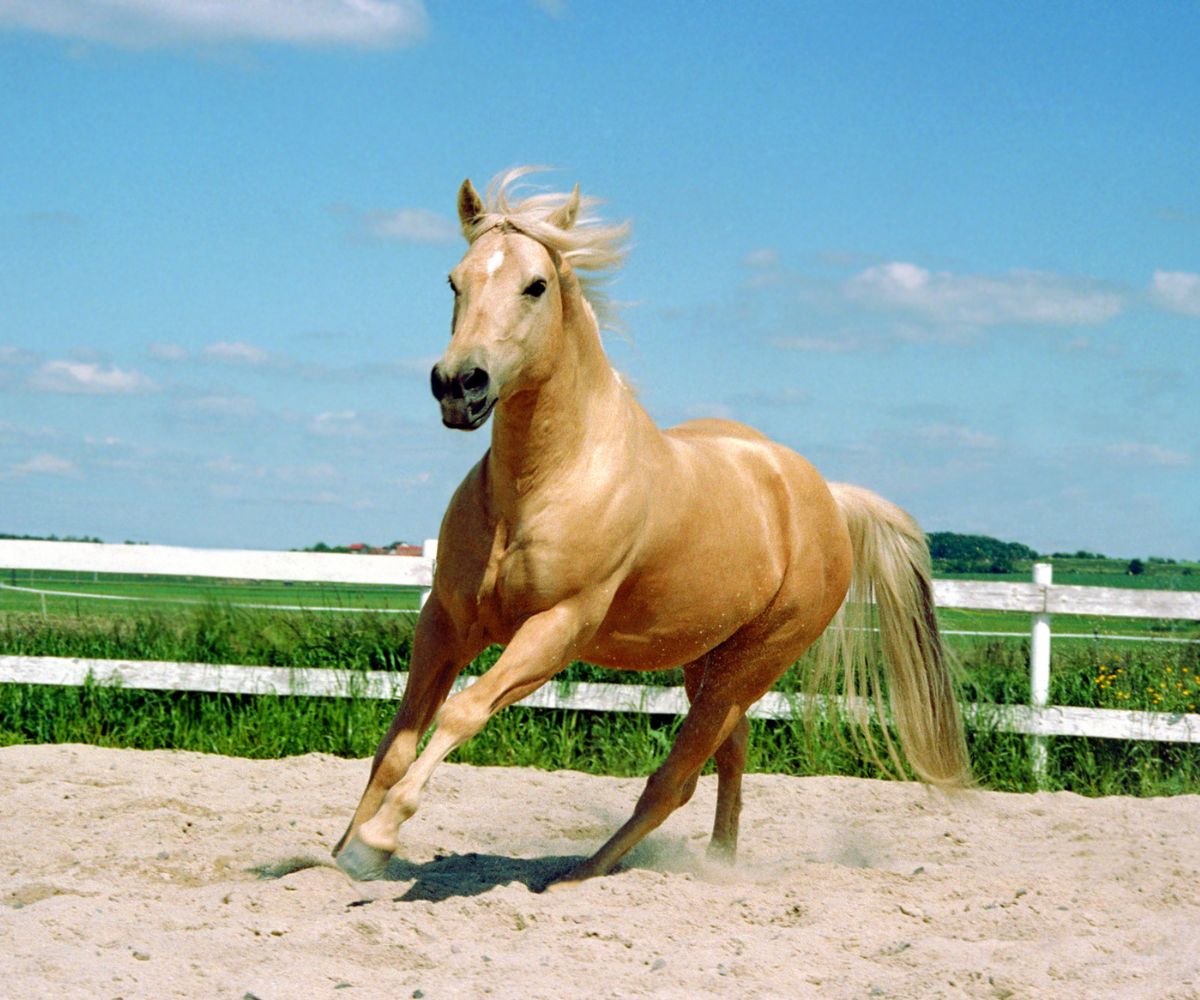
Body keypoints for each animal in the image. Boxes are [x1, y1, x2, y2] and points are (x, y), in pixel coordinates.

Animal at [333, 168, 969, 883]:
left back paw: (579, 874)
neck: (544, 484)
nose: (458, 385)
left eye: (536, 285)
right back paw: (717, 862)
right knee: (730, 749)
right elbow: (398, 738)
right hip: (707, 658)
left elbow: (463, 711)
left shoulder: (557, 629)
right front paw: (337, 853)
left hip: (750, 665)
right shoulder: (446, 620)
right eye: (454, 281)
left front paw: (377, 840)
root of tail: (825, 498)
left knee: (677, 778)